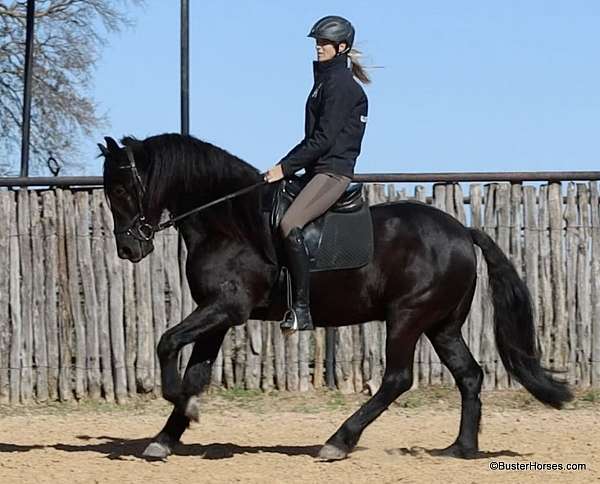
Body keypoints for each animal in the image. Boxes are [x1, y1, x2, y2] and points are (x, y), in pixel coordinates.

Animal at [99, 133, 572, 462]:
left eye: (122, 189)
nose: (128, 250)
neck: (229, 221)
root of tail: (462, 230)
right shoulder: (219, 314)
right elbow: (195, 372)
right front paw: (167, 434)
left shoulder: (225, 308)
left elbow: (166, 342)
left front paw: (179, 404)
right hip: (442, 325)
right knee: (470, 375)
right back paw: (461, 448)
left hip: (407, 317)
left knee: (397, 379)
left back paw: (338, 442)